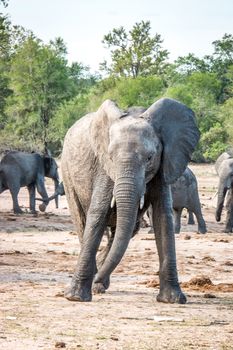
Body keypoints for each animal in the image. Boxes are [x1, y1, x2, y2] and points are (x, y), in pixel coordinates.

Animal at [61, 98, 199, 304]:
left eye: (149, 158)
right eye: (110, 156)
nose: (97, 280)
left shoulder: (163, 166)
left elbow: (162, 217)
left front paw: (173, 300)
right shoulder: (104, 169)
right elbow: (98, 214)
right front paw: (76, 298)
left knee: (126, 229)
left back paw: (99, 283)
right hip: (67, 172)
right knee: (82, 222)